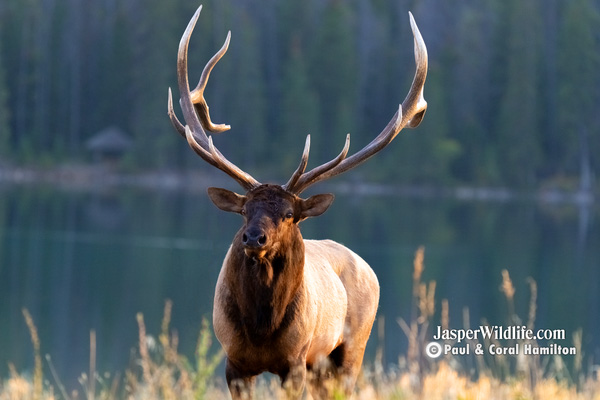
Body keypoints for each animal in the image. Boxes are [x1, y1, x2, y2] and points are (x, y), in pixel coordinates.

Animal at [166, 4, 428, 398]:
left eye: (290, 213)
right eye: (244, 210)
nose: (254, 237)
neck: (261, 329)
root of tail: (368, 267)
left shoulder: (295, 362)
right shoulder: (234, 363)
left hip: (350, 351)